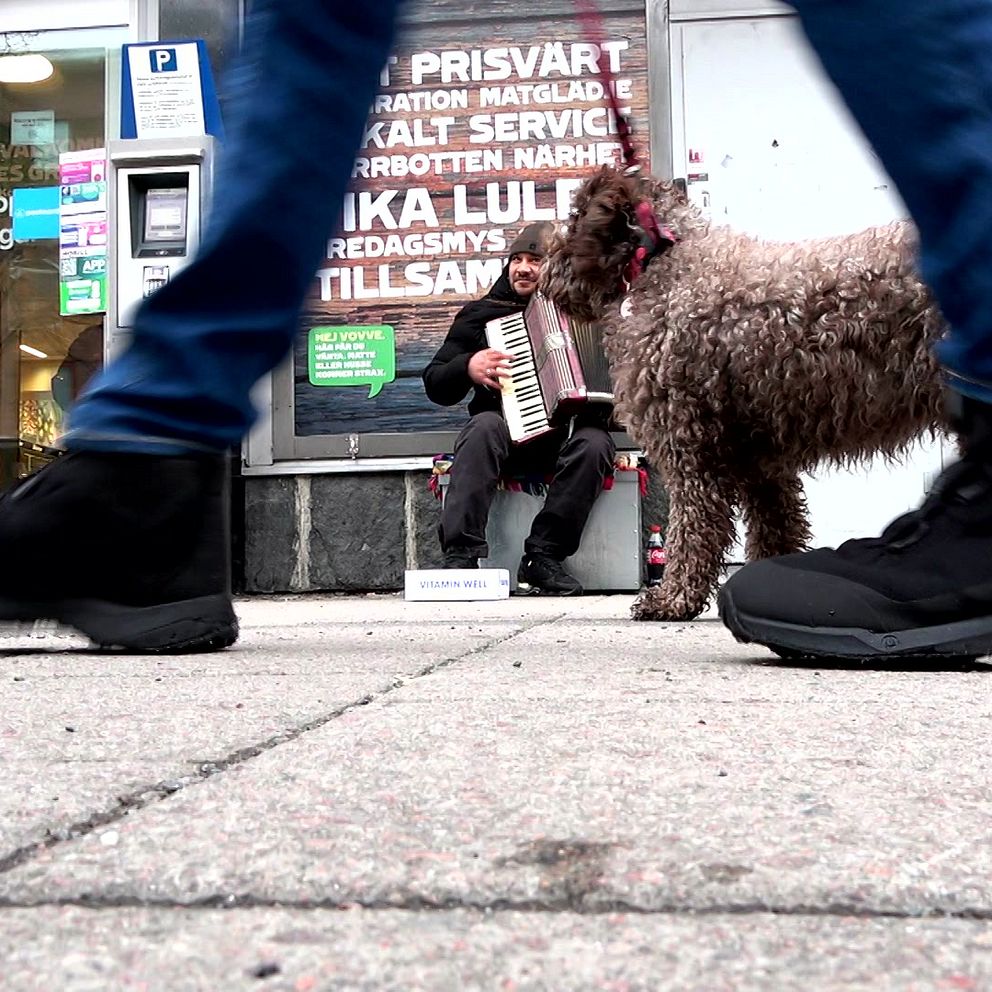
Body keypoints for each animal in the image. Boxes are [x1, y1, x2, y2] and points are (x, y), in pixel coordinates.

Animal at [539, 165, 948, 621]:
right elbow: (777, 524)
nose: (541, 269)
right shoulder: (758, 455)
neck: (670, 270)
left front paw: (672, 598)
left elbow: (695, 527)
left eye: (575, 218)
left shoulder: (689, 446)